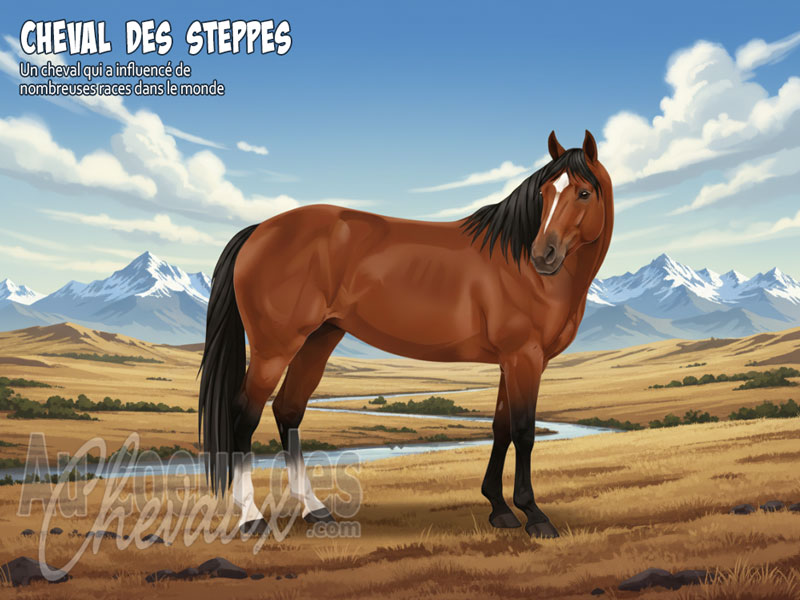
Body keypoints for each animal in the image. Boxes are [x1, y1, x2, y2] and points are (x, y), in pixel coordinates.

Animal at [199, 130, 614, 538]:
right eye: (544, 194)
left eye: (583, 193)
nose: (544, 255)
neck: (521, 268)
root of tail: (259, 230)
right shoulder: (523, 357)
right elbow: (525, 432)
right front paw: (535, 516)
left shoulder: (509, 362)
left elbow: (501, 428)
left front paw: (499, 509)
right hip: (274, 348)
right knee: (244, 415)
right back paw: (251, 517)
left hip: (319, 340)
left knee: (288, 411)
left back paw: (315, 509)